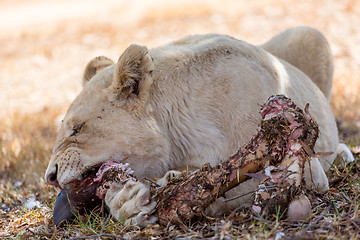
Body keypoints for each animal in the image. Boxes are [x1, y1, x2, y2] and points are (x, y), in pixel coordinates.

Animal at [44, 27, 352, 226]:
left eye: (77, 129)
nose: (50, 176)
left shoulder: (304, 166)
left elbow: (232, 186)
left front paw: (172, 193)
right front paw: (127, 202)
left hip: (311, 35)